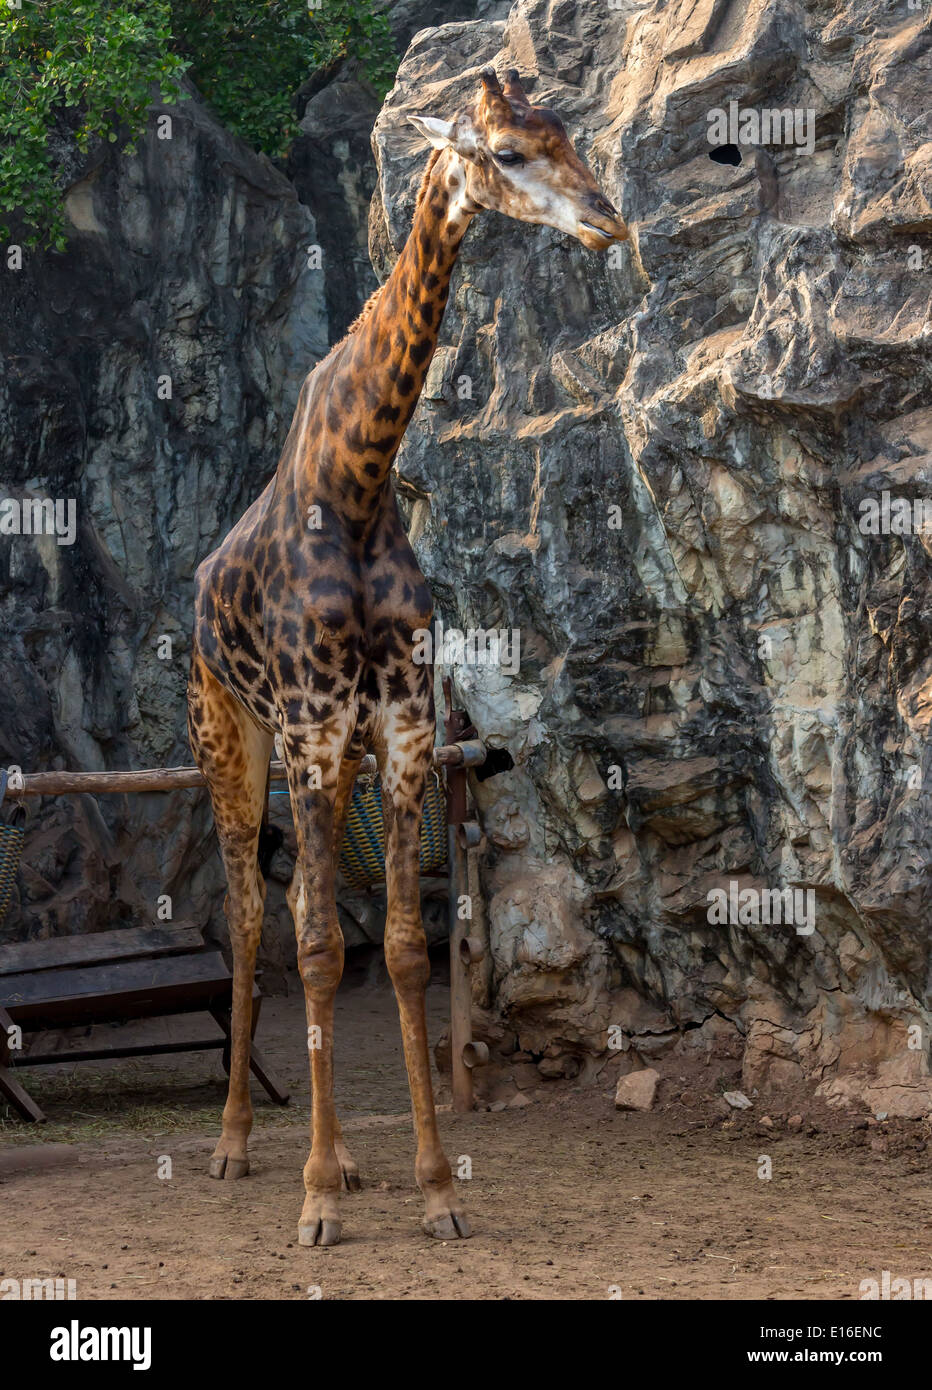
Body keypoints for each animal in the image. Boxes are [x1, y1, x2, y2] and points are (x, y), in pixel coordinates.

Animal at [186, 67, 627, 1247]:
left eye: (567, 133)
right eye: (505, 153)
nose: (607, 218)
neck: (359, 483)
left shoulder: (398, 730)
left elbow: (396, 948)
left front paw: (432, 1189)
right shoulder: (305, 727)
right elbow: (314, 943)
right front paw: (309, 1203)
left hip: (328, 761)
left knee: (306, 919)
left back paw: (343, 1159)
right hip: (229, 739)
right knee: (252, 915)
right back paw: (240, 1146)